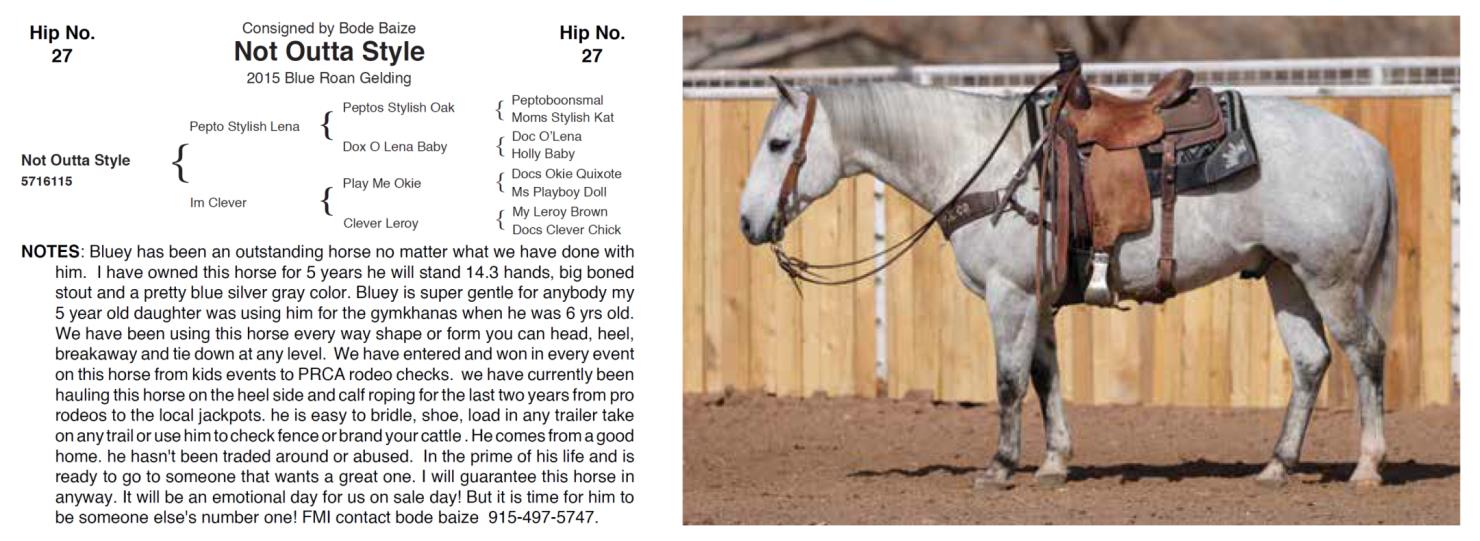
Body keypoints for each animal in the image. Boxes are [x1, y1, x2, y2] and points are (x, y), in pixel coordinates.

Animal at [737, 78, 1395, 489]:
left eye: (778, 144)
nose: (747, 222)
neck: (987, 164)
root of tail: (1367, 146)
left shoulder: (1010, 295)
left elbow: (1007, 381)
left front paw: (1000, 466)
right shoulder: (1040, 300)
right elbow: (1044, 376)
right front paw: (1054, 463)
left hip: (1330, 278)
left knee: (1365, 353)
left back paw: (1366, 467)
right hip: (1286, 275)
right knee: (1310, 361)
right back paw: (1277, 466)